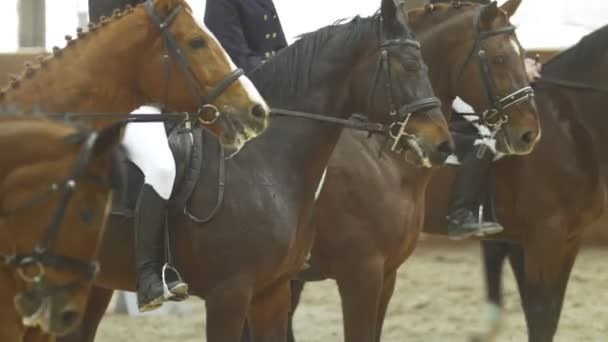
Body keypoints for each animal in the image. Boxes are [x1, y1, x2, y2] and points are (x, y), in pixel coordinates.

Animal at [57, 0, 454, 342]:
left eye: (425, 65)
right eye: (408, 65)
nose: (442, 144)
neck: (264, 163)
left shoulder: (276, 291)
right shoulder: (237, 294)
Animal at [288, 1, 540, 340]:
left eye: (523, 53)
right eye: (498, 57)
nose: (530, 133)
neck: (382, 162)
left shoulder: (386, 276)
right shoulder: (360, 277)